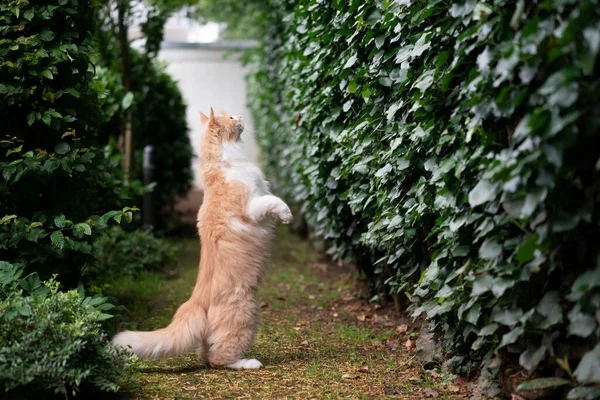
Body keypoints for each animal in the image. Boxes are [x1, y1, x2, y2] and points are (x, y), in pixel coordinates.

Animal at [113, 106, 292, 368]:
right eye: (231, 118)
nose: (240, 117)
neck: (223, 162)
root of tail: (195, 301)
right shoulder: (253, 206)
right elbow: (274, 201)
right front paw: (287, 215)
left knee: (207, 355)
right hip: (245, 314)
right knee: (219, 358)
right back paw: (247, 363)